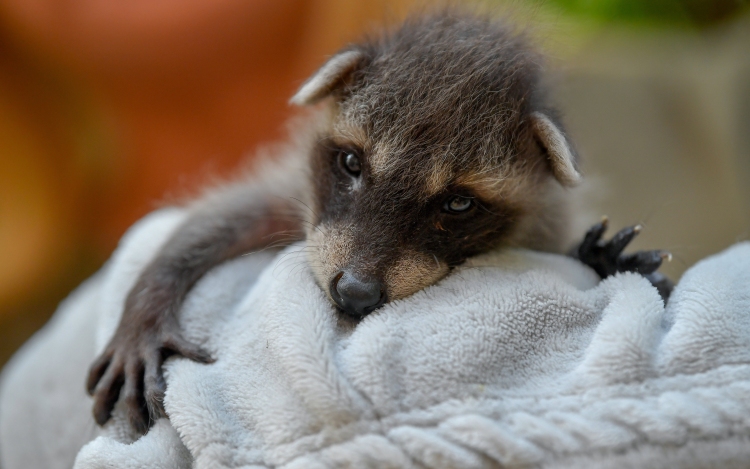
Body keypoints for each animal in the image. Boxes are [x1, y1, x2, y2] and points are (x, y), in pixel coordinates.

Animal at [85, 11, 672, 436]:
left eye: (457, 205)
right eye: (351, 164)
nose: (354, 293)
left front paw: (597, 257)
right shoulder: (301, 196)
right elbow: (219, 218)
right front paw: (148, 302)